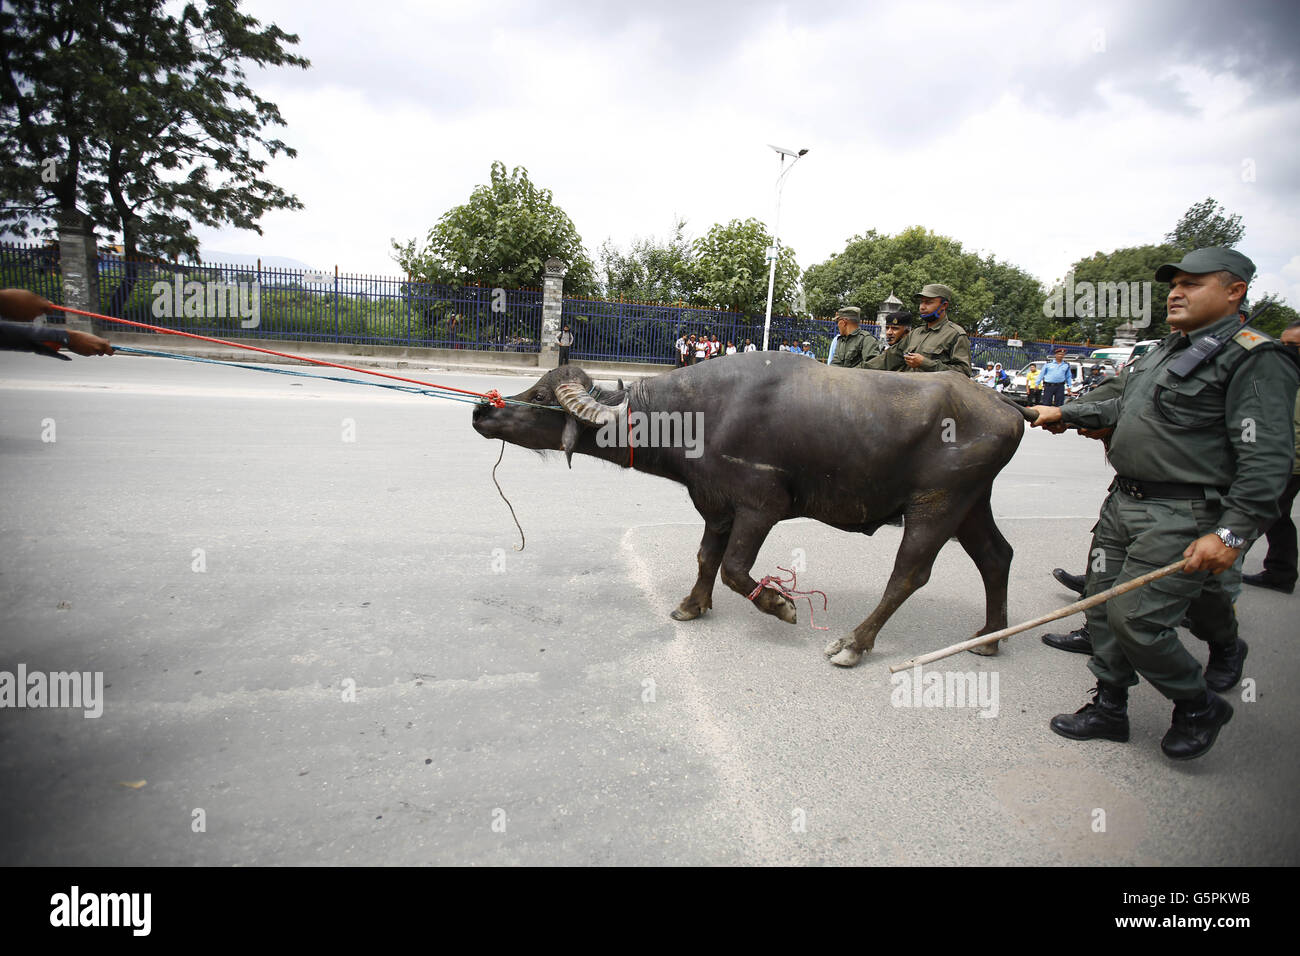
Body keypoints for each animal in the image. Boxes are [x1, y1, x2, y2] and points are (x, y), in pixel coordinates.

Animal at [470, 348, 1024, 671]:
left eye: (541, 394)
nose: (481, 410)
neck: (698, 413)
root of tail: (1008, 407)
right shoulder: (715, 506)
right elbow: (706, 558)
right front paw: (692, 605)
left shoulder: (762, 507)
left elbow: (736, 569)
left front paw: (780, 604)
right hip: (972, 504)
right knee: (997, 557)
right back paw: (990, 636)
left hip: (936, 505)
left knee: (909, 573)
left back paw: (852, 643)